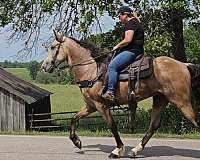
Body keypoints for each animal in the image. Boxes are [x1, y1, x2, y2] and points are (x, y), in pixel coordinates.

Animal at [41, 30, 200, 158]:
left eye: (53, 47)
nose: (44, 66)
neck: (91, 69)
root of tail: (184, 65)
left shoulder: (101, 105)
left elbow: (112, 126)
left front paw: (118, 150)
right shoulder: (90, 106)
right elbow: (74, 118)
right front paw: (77, 141)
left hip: (182, 102)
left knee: (195, 121)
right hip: (160, 100)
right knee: (153, 126)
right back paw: (135, 150)